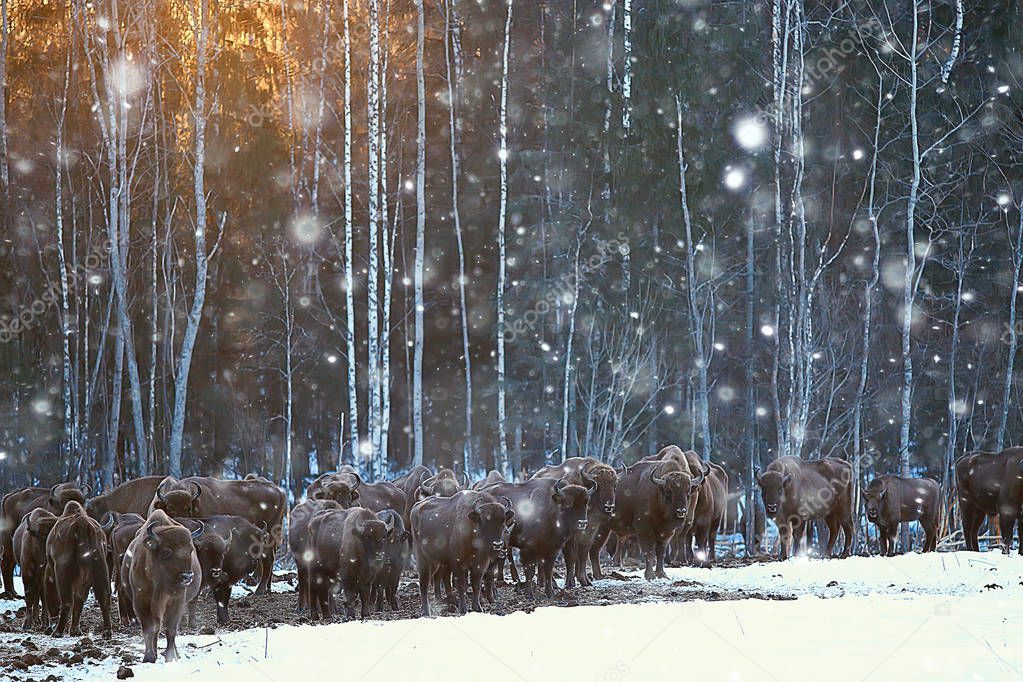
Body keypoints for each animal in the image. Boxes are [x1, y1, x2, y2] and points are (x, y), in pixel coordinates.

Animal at [45, 501, 112, 642]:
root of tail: (82, 524)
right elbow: (79, 600)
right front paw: (75, 630)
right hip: (101, 569)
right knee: (103, 598)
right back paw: (107, 632)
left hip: (63, 572)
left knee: (67, 602)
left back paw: (57, 632)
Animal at [123, 511, 203, 662]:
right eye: (166, 551)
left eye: (190, 550)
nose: (187, 576)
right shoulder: (141, 601)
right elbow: (150, 629)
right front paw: (149, 657)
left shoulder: (176, 601)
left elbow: (170, 629)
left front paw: (171, 657)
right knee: (156, 628)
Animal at [148, 478, 286, 593]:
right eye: (170, 508)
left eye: (189, 508)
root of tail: (279, 491)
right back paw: (267, 589)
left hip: (268, 534)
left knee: (268, 558)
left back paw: (260, 591)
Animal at [411, 488, 515, 617]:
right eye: (484, 521)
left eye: (503, 521)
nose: (497, 545)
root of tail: (416, 507)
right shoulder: (458, 564)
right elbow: (462, 585)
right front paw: (463, 609)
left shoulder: (480, 564)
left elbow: (476, 584)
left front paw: (478, 608)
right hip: (424, 560)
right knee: (424, 583)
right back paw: (426, 612)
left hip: (438, 562)